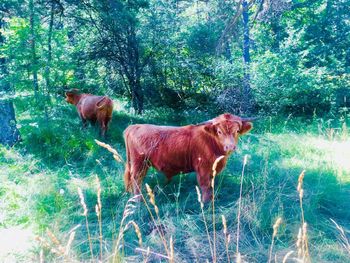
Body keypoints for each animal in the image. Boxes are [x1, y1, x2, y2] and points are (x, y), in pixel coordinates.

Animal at [124, 113, 253, 202]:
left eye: (237, 131)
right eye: (219, 131)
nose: (230, 146)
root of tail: (135, 126)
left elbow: (210, 185)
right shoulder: (203, 168)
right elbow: (205, 186)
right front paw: (206, 203)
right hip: (139, 162)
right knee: (136, 178)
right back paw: (139, 199)